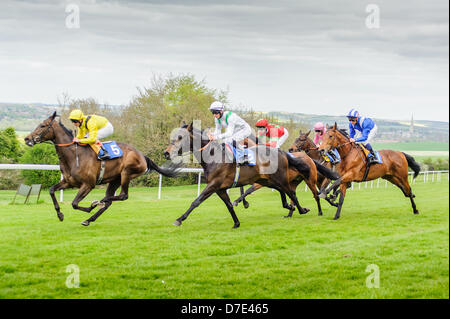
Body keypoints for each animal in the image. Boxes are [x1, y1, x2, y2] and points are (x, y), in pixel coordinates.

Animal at [24, 112, 178, 228]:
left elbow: (74, 204)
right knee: (110, 201)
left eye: (43, 125)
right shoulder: (69, 182)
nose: (26, 138)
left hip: (126, 173)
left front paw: (91, 205)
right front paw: (60, 214)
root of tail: (142, 155)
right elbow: (51, 190)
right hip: (115, 179)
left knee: (123, 196)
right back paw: (90, 218)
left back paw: (99, 202)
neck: (74, 156)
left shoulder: (88, 184)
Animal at [163, 122, 340, 228]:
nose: (166, 153)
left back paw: (305, 209)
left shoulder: (213, 185)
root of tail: (282, 153)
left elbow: (196, 201)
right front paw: (236, 222)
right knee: (287, 193)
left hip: (287, 179)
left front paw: (179, 219)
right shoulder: (220, 189)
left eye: (180, 137)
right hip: (268, 180)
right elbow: (229, 205)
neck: (213, 156)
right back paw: (292, 208)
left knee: (298, 193)